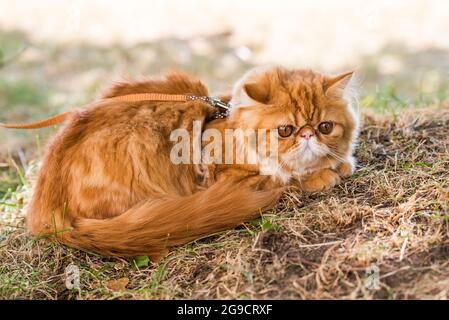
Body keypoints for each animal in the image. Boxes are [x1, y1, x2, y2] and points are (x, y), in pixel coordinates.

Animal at [26, 66, 358, 258]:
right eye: (286, 130)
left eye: (325, 127)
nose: (308, 135)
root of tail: (45, 211)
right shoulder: (230, 178)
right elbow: (285, 175)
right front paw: (322, 174)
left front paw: (338, 162)